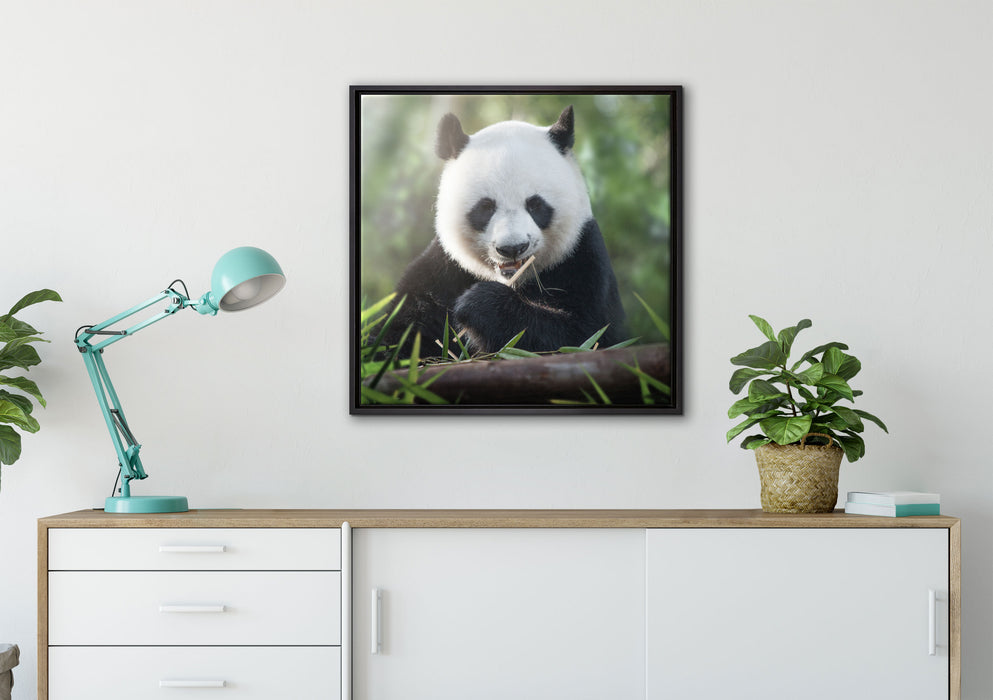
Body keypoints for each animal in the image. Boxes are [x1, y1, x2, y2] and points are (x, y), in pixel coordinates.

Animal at [385, 105, 626, 357]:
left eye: (535, 205)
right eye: (486, 207)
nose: (512, 248)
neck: (513, 281)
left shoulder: (581, 259)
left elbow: (582, 336)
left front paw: (478, 304)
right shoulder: (445, 269)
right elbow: (402, 327)